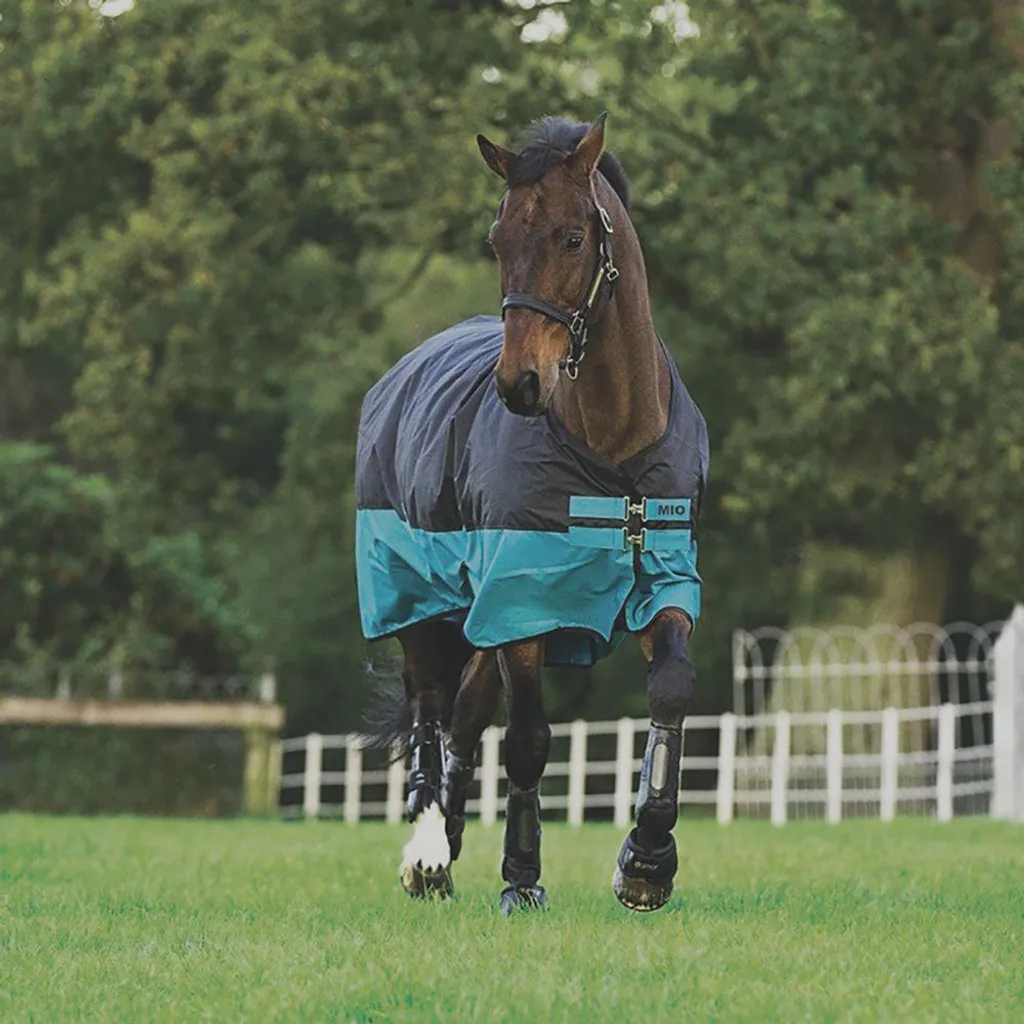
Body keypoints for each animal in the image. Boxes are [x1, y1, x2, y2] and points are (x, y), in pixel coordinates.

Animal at [355, 113, 708, 913]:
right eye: (498, 239)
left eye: (573, 238)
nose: (518, 383)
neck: (611, 448)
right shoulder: (524, 603)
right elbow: (528, 740)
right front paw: (521, 878)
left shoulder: (663, 579)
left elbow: (670, 690)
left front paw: (647, 861)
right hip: (420, 601)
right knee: (432, 711)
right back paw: (428, 851)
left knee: (463, 716)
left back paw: (449, 841)